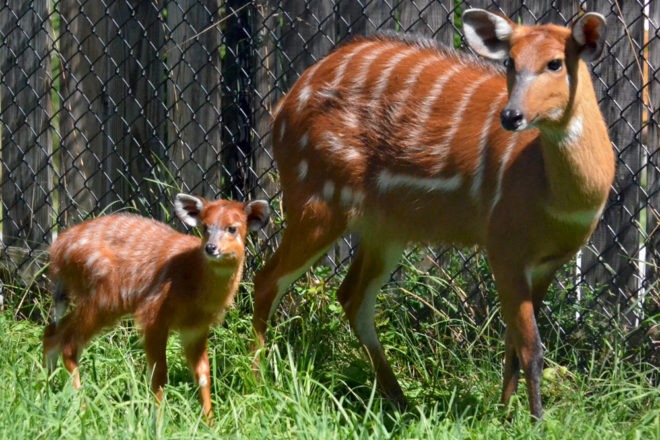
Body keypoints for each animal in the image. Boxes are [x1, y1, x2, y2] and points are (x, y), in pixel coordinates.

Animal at [251, 7, 612, 420]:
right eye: (510, 61)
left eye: (555, 63)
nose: (511, 116)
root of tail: (284, 104)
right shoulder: (504, 250)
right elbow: (531, 348)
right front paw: (533, 421)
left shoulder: (547, 263)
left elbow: (513, 345)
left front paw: (504, 415)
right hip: (318, 204)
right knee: (267, 280)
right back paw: (257, 382)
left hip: (385, 229)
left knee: (352, 297)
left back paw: (399, 399)